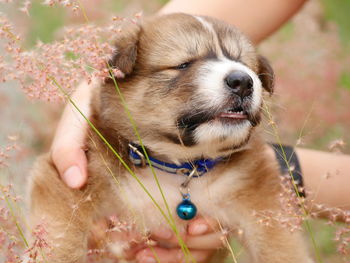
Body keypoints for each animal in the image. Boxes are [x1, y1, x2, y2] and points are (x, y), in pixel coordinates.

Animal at [29, 12, 312, 263]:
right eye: (183, 64)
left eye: (243, 64)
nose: (242, 81)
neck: (178, 166)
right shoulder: (66, 183)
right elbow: (60, 239)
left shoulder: (262, 197)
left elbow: (281, 247)